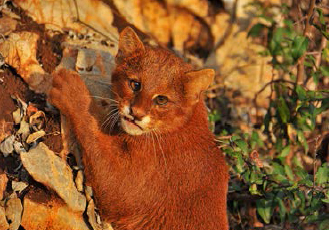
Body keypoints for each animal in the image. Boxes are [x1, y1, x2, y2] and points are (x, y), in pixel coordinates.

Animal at [49, 27, 228, 230]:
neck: (183, 125)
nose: (136, 113)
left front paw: (69, 88)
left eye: (161, 100)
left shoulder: (124, 190)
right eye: (135, 84)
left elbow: (92, 128)